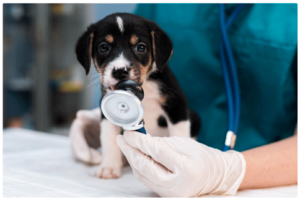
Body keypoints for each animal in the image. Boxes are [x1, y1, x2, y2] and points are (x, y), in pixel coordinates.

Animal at [75, 12, 202, 178]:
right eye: (103, 47)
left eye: (140, 47)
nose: (120, 71)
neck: (144, 88)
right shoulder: (106, 112)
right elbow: (109, 140)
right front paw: (109, 167)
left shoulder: (176, 105)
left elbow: (179, 137)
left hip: (194, 117)